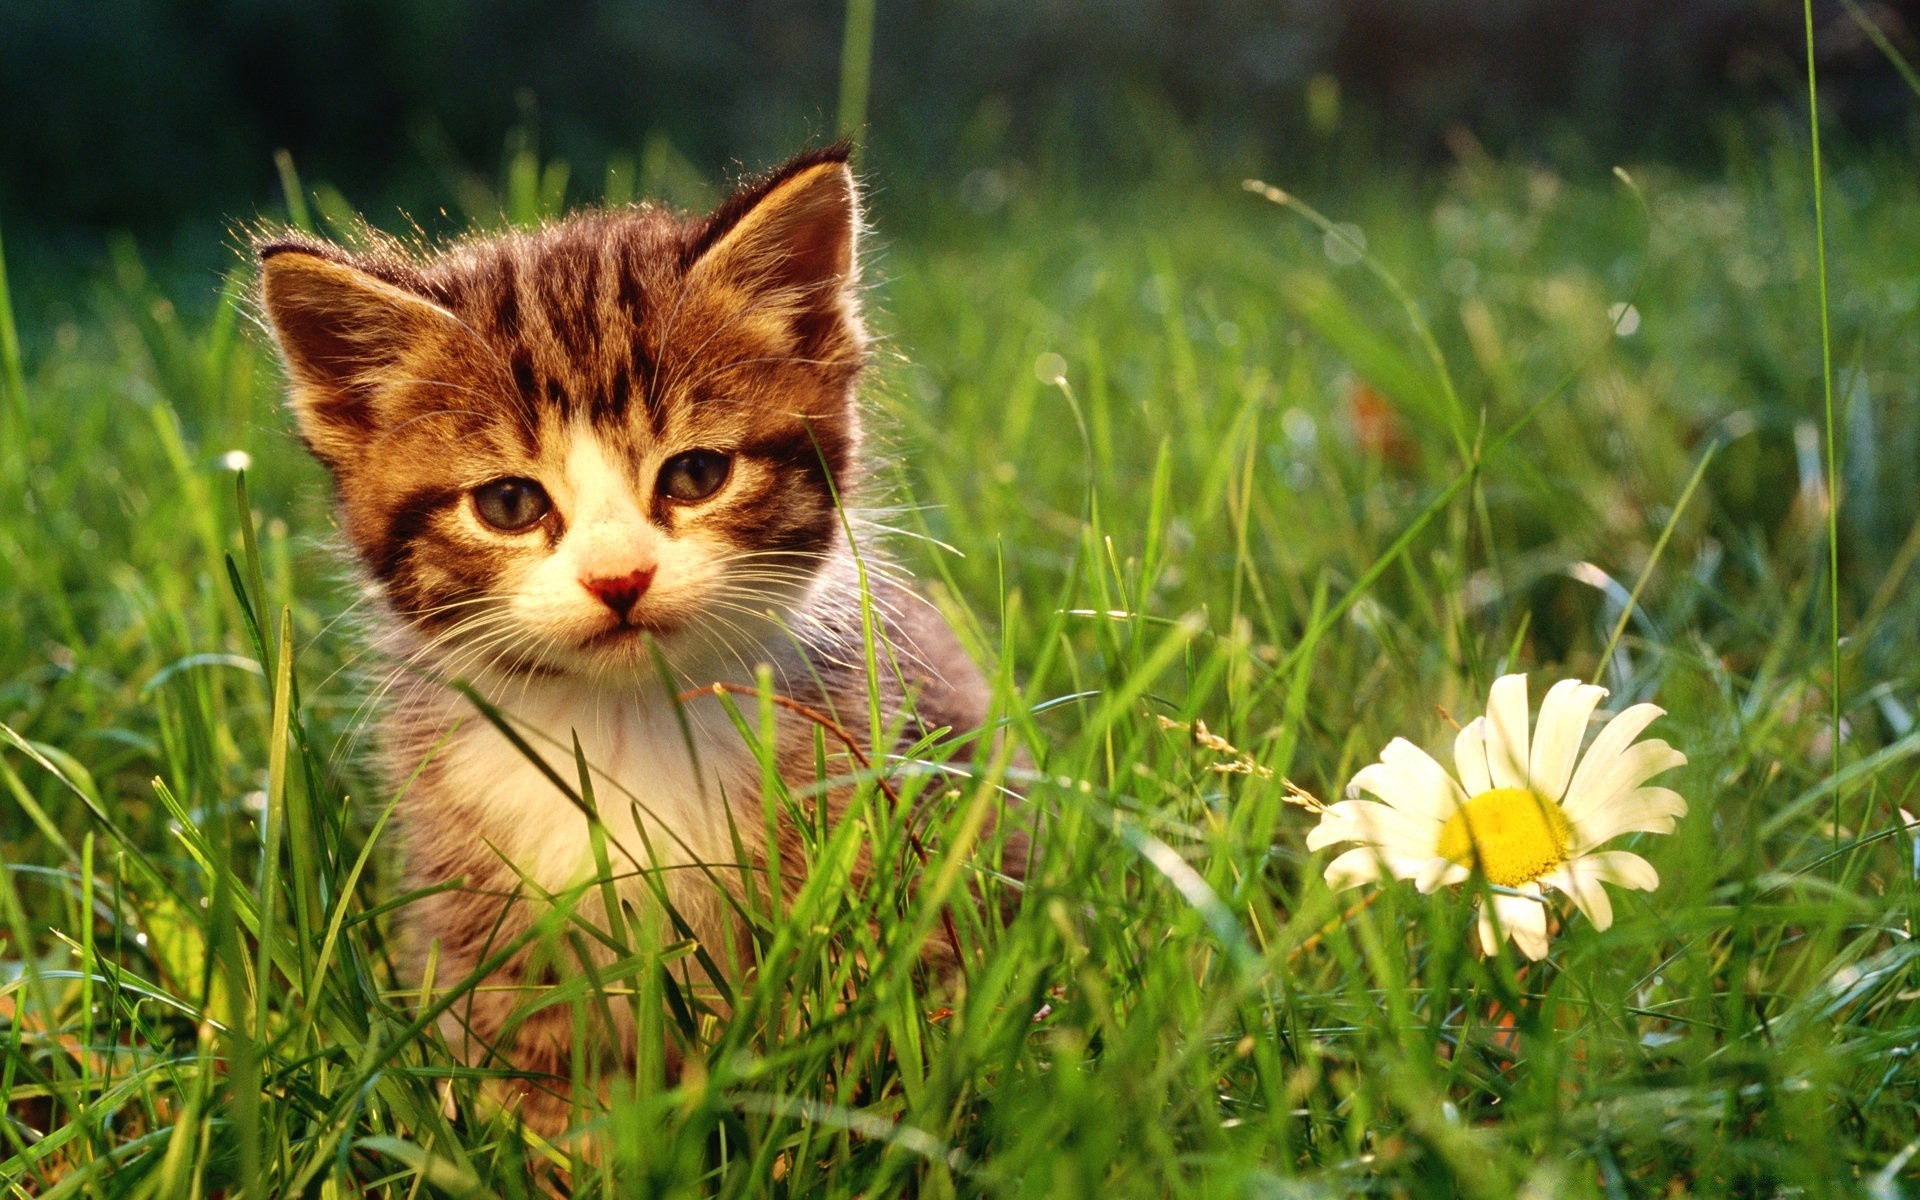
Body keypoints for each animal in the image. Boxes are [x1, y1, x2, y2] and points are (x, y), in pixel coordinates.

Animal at [257, 144, 1021, 1136]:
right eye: (509, 502)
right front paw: (551, 1140)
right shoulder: (475, 897)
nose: (618, 579)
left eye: (696, 474)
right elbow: (526, 1047)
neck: (626, 726)